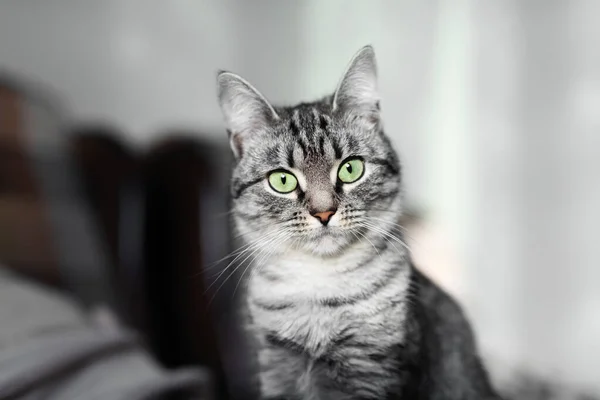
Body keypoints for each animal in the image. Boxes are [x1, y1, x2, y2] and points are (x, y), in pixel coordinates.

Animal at [218, 46, 500, 400]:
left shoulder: (372, 367)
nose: (323, 212)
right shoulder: (276, 365)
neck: (317, 295)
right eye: (282, 180)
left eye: (351, 169)